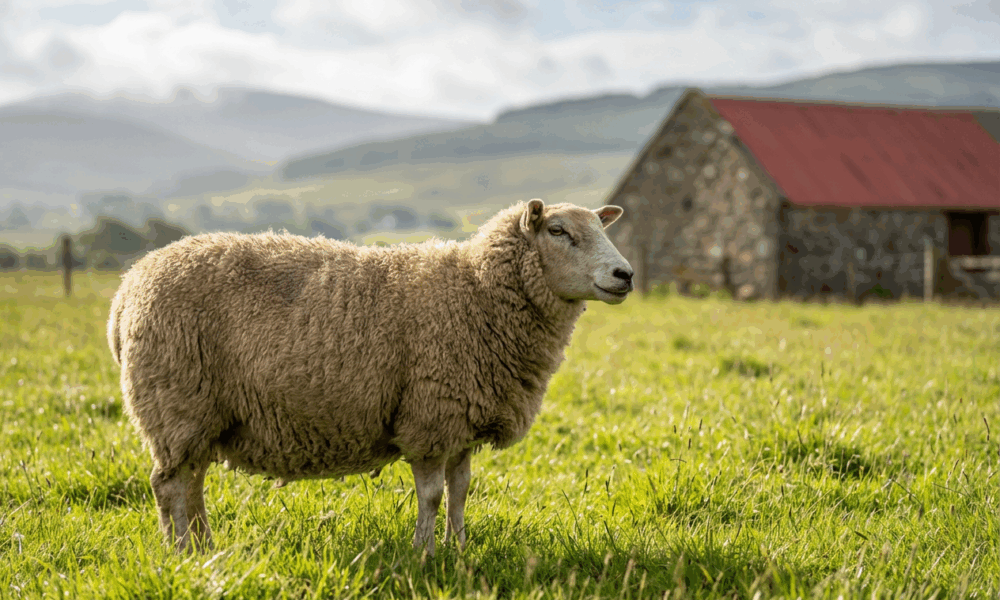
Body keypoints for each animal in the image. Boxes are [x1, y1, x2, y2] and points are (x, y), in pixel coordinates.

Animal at [107, 199, 633, 554]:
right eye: (559, 231)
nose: (624, 274)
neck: (476, 290)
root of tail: (127, 289)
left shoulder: (463, 418)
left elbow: (460, 491)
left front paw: (460, 549)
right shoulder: (429, 417)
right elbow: (432, 494)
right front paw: (424, 553)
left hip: (197, 414)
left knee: (190, 483)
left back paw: (204, 549)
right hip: (176, 402)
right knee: (169, 486)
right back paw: (181, 553)